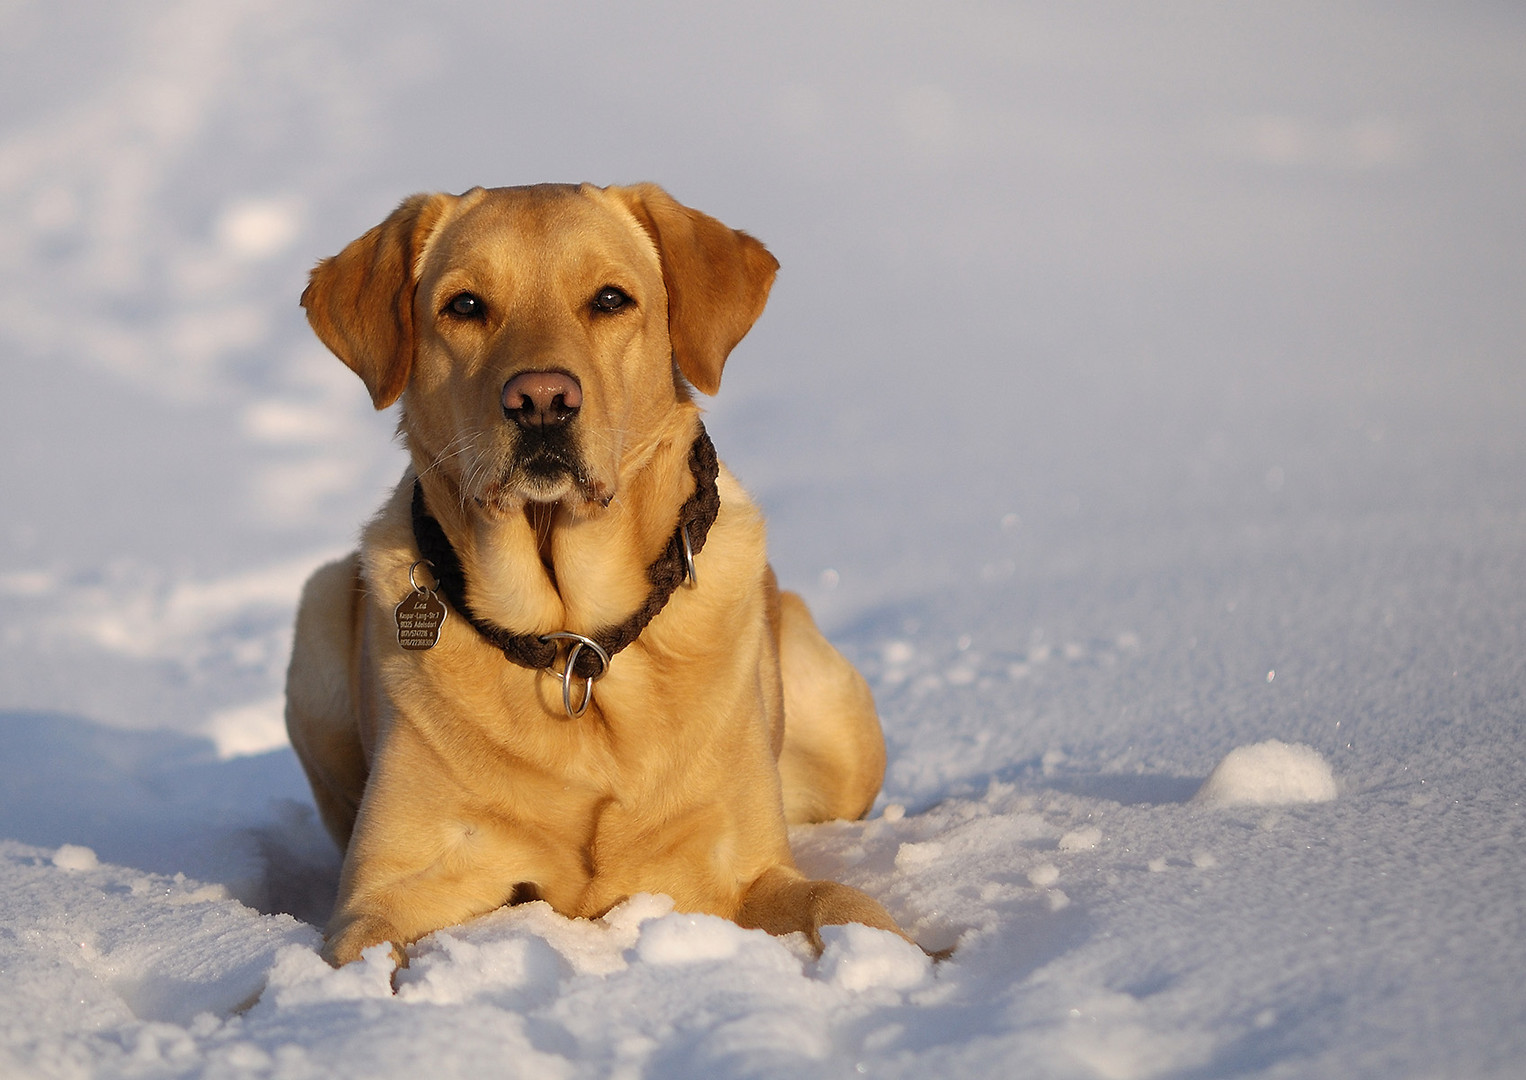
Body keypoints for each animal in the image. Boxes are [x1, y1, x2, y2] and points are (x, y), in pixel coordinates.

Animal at [286, 181, 903, 964]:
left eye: (610, 299)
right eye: (465, 305)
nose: (542, 399)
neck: (573, 640)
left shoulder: (747, 866)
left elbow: (841, 902)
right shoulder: (385, 889)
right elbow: (361, 949)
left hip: (840, 723)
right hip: (315, 624)